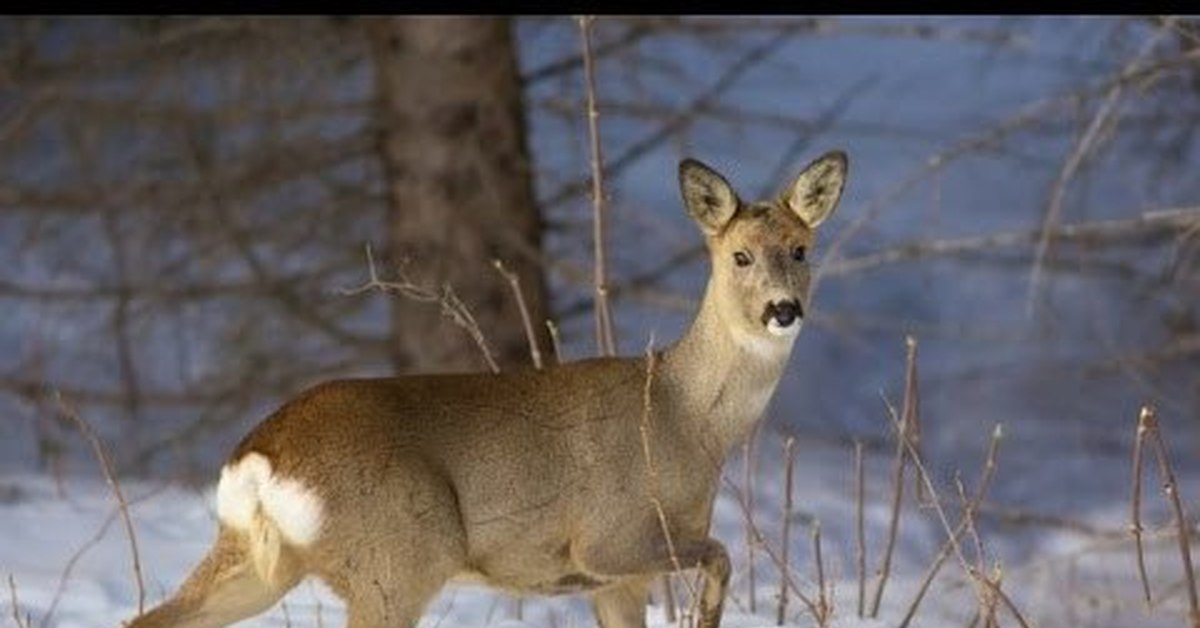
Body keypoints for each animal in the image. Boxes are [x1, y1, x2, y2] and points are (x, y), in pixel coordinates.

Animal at [129, 150, 844, 624]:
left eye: (801, 250)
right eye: (740, 256)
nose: (783, 310)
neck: (685, 418)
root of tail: (261, 457)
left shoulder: (615, 579)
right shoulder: (609, 538)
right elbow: (722, 556)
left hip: (255, 559)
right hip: (398, 559)